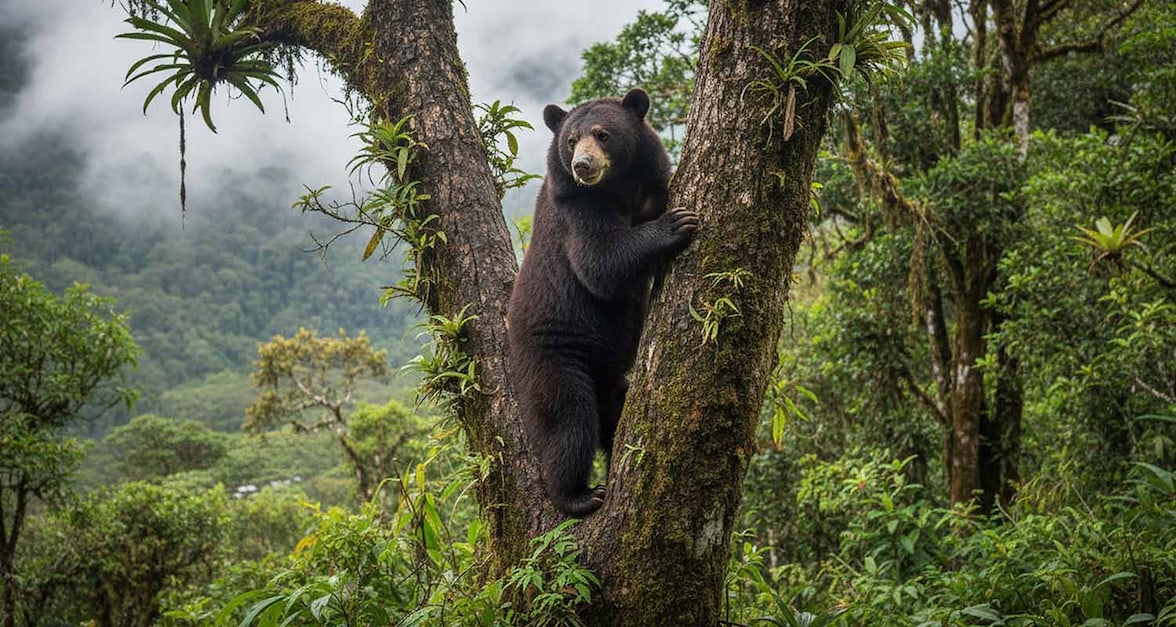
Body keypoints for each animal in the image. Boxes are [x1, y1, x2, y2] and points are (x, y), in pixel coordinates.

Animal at [507, 88, 699, 517]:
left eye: (603, 134)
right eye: (571, 139)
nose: (583, 165)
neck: (619, 188)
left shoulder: (651, 180)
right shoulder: (575, 209)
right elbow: (600, 262)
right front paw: (676, 224)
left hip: (607, 373)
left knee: (616, 410)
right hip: (553, 355)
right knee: (569, 421)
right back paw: (578, 495)